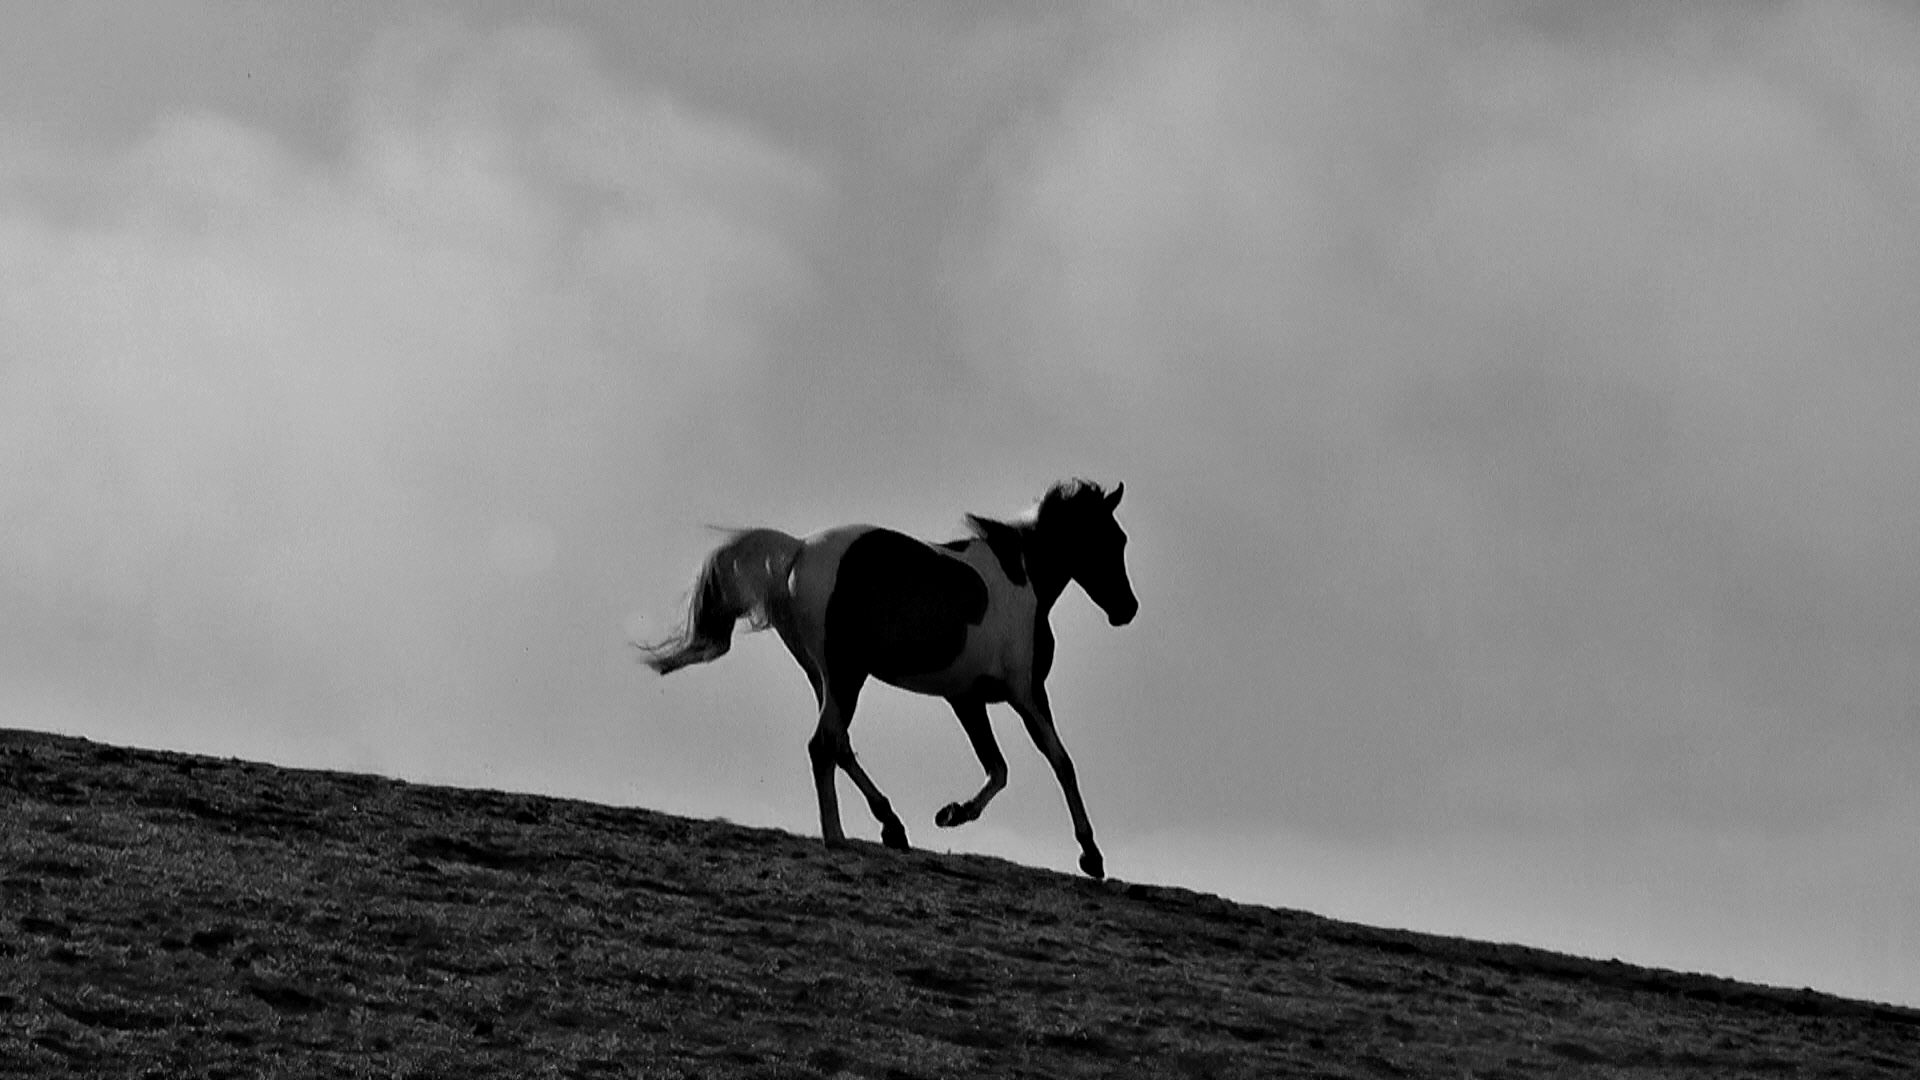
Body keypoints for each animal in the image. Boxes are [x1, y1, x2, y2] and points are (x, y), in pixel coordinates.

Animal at [639, 479, 1137, 879]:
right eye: (1111, 539)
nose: (1127, 609)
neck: (1023, 582)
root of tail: (798, 549)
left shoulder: (966, 698)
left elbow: (997, 767)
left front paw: (952, 813)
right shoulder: (1027, 693)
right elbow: (1060, 761)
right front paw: (1091, 855)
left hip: (826, 678)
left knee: (838, 744)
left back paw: (891, 825)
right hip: (846, 674)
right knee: (823, 744)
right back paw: (838, 835)